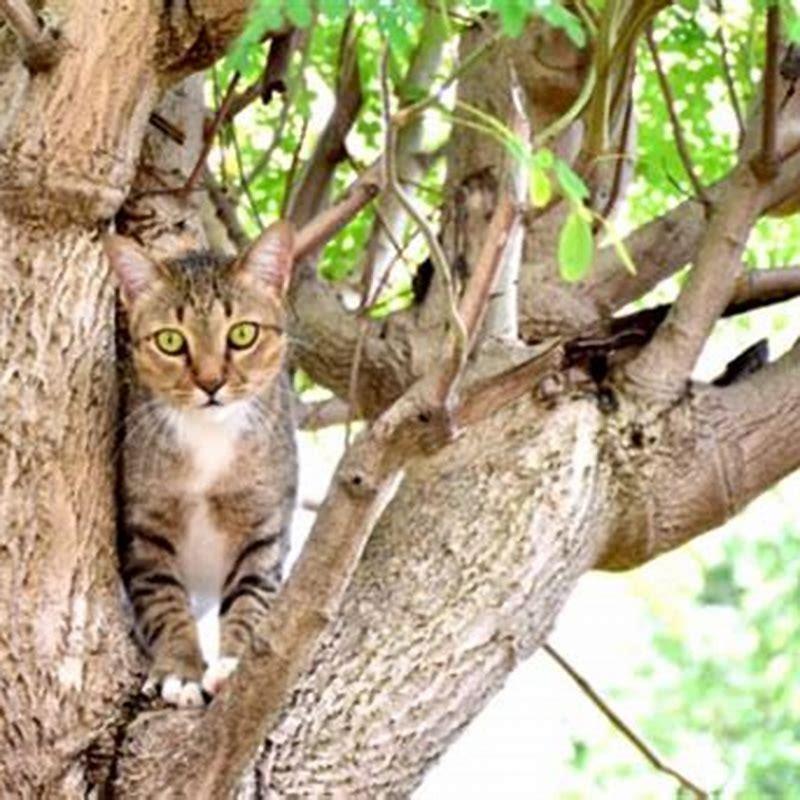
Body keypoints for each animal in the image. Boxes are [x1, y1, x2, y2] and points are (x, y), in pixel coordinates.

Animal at [103, 222, 296, 708]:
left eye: (243, 334)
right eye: (171, 341)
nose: (211, 382)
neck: (209, 439)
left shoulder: (263, 525)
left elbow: (251, 593)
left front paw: (234, 663)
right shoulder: (143, 529)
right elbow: (164, 600)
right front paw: (179, 670)